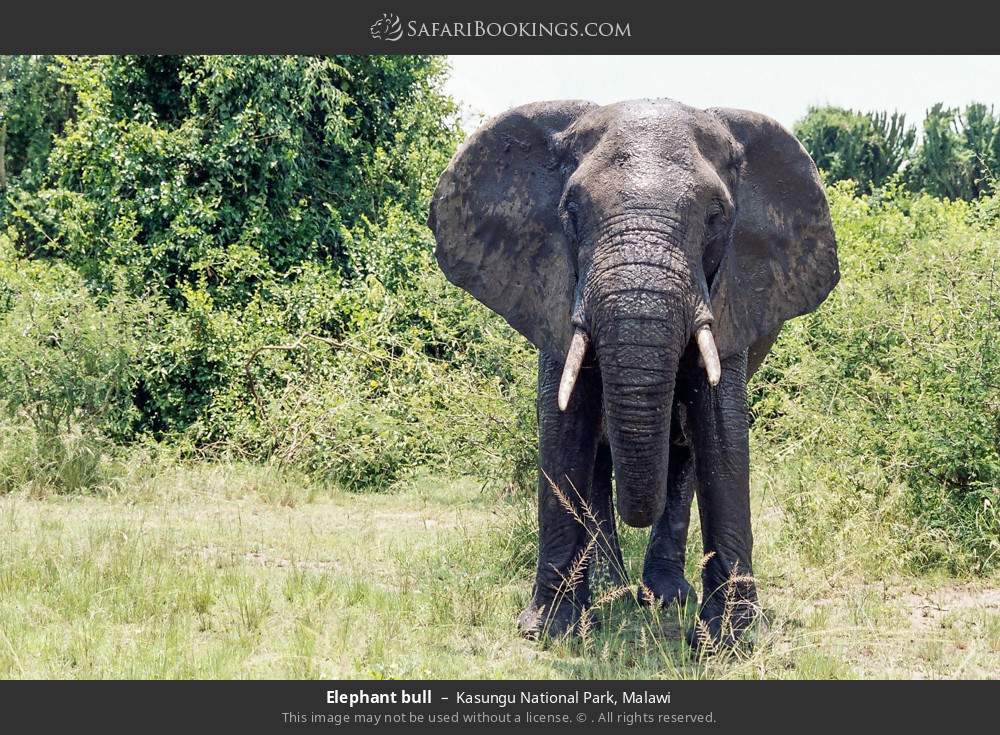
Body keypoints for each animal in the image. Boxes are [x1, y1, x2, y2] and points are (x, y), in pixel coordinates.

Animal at [428, 99, 839, 646]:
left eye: (716, 217)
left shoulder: (732, 293)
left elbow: (721, 429)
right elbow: (563, 425)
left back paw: (662, 597)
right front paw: (548, 631)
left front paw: (728, 642)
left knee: (682, 453)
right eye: (571, 213)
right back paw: (612, 592)